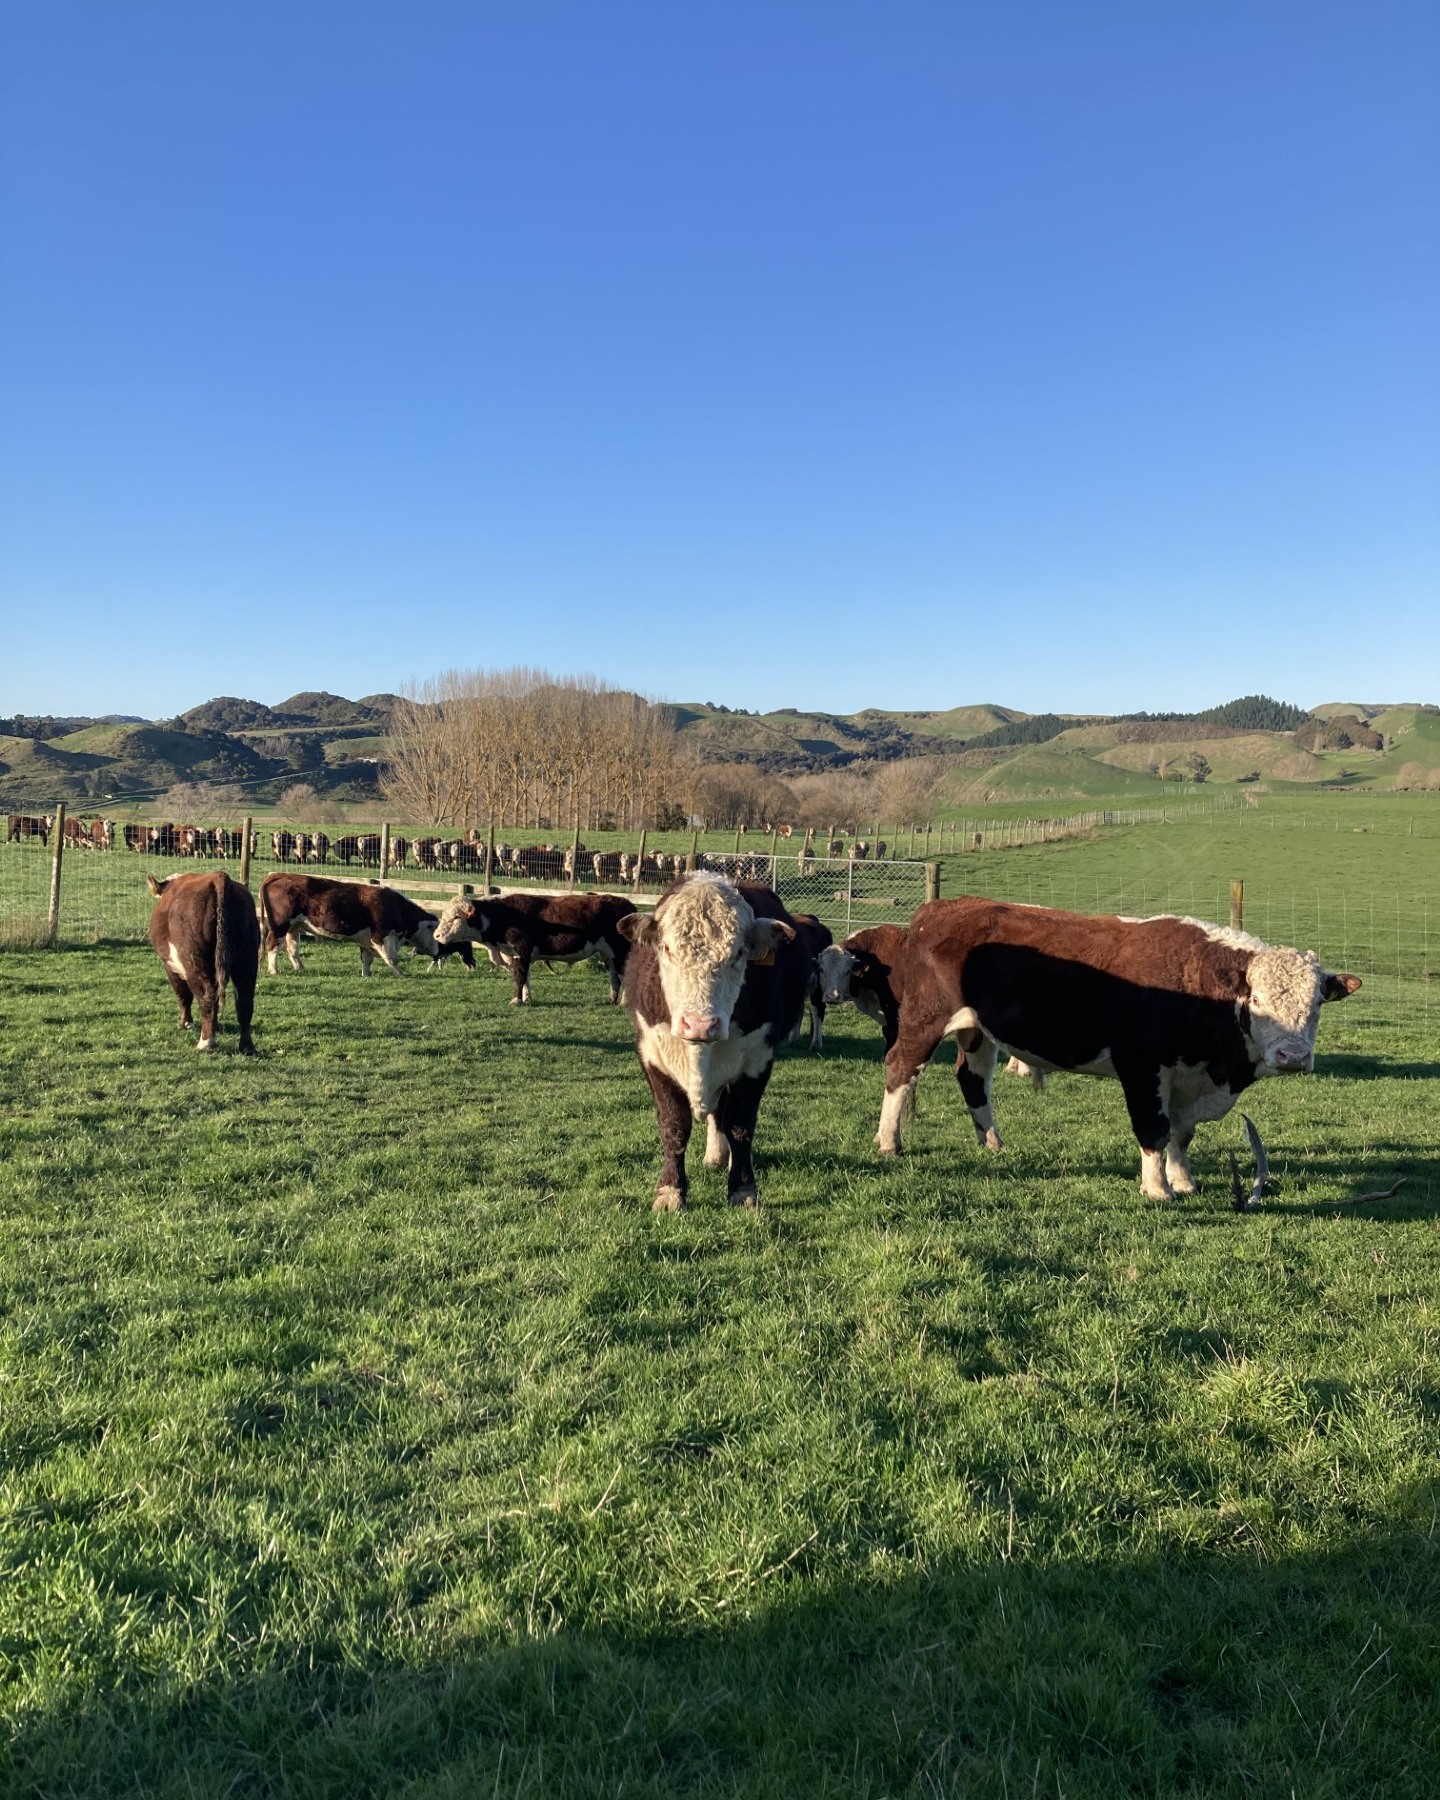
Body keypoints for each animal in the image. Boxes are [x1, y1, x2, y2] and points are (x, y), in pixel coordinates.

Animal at [146, 869, 259, 1054]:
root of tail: (218, 877)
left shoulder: (171, 967)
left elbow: (183, 995)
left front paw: (186, 1023)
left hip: (195, 961)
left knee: (207, 996)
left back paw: (206, 1042)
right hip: (246, 959)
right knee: (244, 1001)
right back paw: (246, 1047)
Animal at [259, 873, 445, 976]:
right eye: (436, 934)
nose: (440, 952)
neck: (398, 907)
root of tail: (277, 875)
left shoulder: (367, 940)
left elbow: (367, 959)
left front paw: (367, 974)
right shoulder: (382, 936)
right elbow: (392, 958)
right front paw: (401, 975)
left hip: (294, 927)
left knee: (292, 949)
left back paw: (300, 968)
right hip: (280, 925)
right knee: (272, 945)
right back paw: (274, 970)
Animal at [433, 890, 637, 1005]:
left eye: (456, 917)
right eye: (444, 915)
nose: (437, 935)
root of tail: (626, 904)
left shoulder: (520, 951)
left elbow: (519, 977)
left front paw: (516, 1000)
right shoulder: (518, 954)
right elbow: (526, 978)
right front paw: (527, 999)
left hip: (620, 952)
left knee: (625, 977)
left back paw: (624, 1004)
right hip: (608, 955)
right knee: (614, 978)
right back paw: (610, 1000)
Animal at [616, 874, 811, 1210]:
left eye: (739, 953)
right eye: (666, 948)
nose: (700, 1024)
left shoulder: (757, 1059)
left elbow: (740, 1125)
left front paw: (743, 1190)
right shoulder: (652, 1055)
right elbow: (674, 1124)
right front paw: (670, 1191)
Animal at [866, 898, 1361, 1200]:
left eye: (1317, 1003)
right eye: (1256, 1000)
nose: (1293, 1057)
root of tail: (941, 908)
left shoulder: (1189, 1080)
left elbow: (1181, 1134)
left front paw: (1184, 1180)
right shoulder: (1142, 1068)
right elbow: (1154, 1130)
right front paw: (1158, 1189)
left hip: (977, 1032)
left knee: (973, 1081)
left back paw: (992, 1142)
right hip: (925, 1020)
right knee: (899, 1069)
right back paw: (889, 1141)